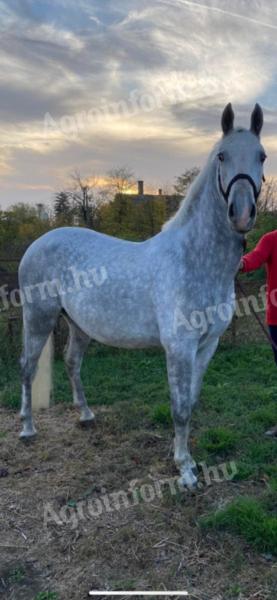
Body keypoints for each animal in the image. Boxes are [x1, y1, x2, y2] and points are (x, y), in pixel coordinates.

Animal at [18, 103, 264, 488]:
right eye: (222, 156)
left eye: (262, 156)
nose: (241, 214)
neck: (194, 259)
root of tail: (38, 242)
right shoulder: (179, 347)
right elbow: (179, 407)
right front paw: (185, 470)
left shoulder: (207, 345)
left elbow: (191, 401)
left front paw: (183, 457)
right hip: (38, 318)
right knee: (27, 367)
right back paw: (27, 429)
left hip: (78, 324)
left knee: (72, 362)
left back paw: (86, 415)